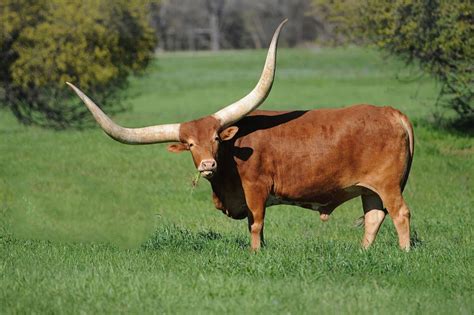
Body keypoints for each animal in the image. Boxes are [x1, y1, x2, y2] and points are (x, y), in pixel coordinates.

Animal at [67, 19, 414, 252]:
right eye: (190, 144)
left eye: (216, 138)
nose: (207, 165)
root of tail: (391, 112)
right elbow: (252, 223)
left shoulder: (256, 189)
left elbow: (256, 223)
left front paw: (255, 253)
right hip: (369, 188)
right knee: (374, 216)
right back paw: (364, 252)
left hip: (387, 184)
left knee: (400, 213)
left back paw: (404, 252)